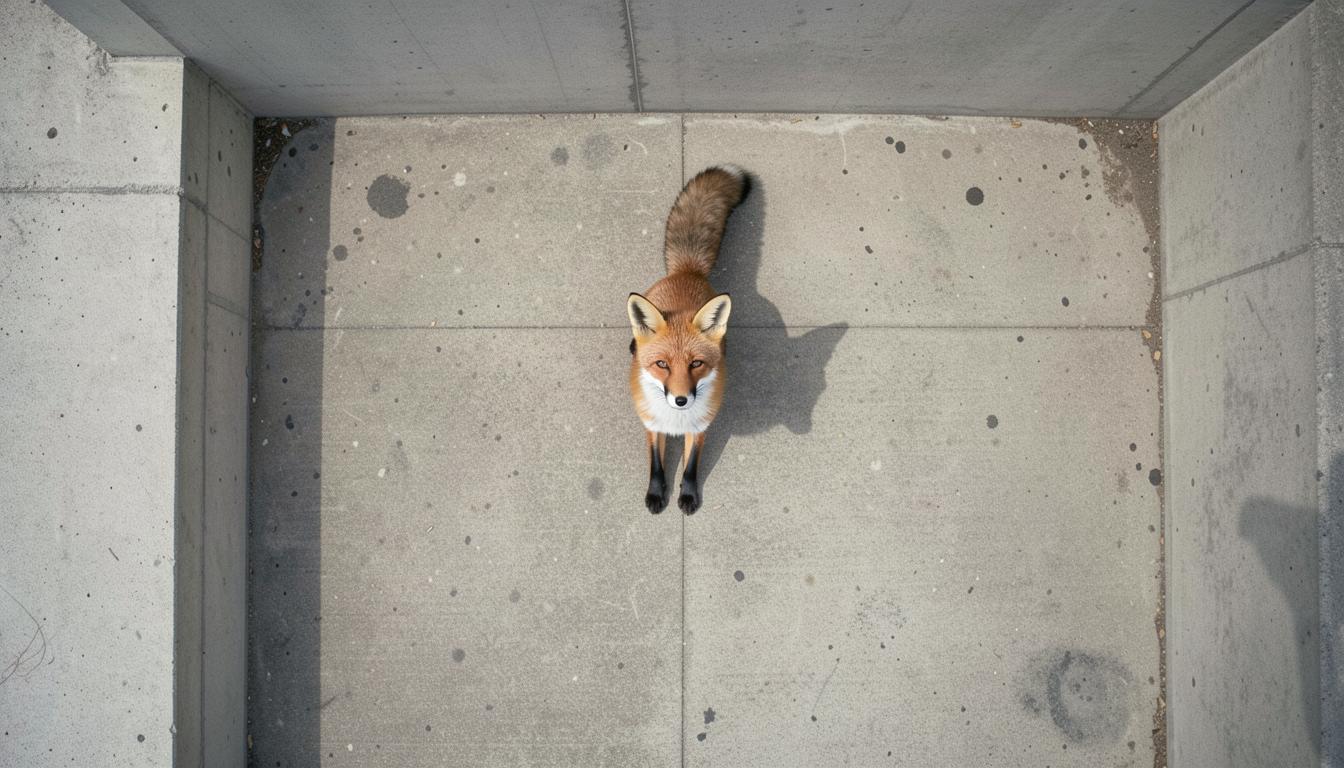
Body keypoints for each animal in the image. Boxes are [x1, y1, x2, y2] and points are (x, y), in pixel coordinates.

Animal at [628, 164, 750, 515]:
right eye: (661, 364)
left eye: (696, 364)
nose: (681, 400)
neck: (676, 422)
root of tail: (688, 271)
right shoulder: (651, 424)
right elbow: (656, 465)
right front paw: (657, 494)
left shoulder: (700, 428)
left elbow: (691, 465)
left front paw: (688, 495)